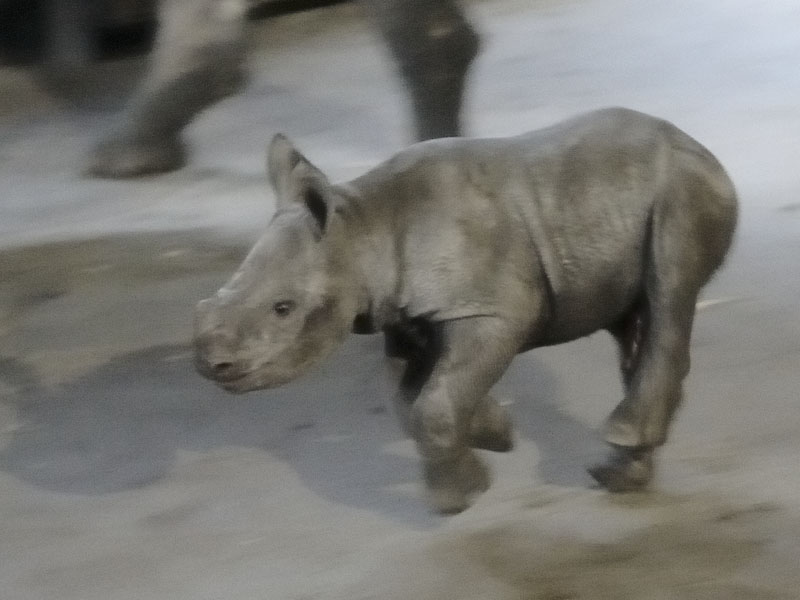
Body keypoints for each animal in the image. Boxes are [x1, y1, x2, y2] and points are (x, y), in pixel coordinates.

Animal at [194, 107, 738, 513]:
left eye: (283, 308)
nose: (212, 364)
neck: (361, 228)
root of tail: (701, 147)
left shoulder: (490, 311)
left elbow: (433, 402)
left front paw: (461, 496)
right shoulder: (407, 318)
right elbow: (407, 398)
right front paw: (496, 435)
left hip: (680, 188)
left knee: (669, 285)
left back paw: (622, 443)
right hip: (613, 201)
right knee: (635, 318)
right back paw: (621, 474)